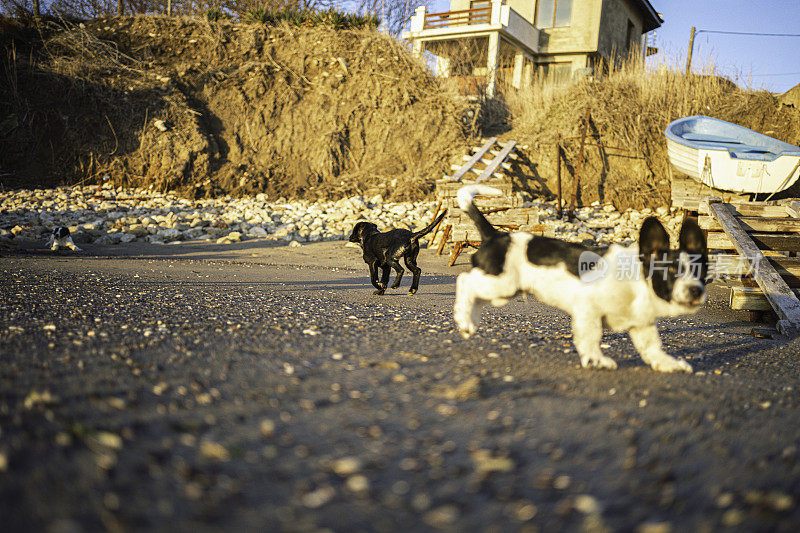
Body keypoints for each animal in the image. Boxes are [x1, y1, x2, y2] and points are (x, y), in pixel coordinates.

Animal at [454, 185, 708, 372]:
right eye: (672, 271)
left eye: (700, 271)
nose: (696, 290)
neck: (638, 283)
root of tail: (494, 235)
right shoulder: (588, 309)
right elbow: (591, 336)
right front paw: (596, 360)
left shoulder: (641, 324)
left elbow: (652, 347)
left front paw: (668, 364)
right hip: (501, 285)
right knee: (465, 281)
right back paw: (464, 320)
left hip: (500, 290)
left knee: (475, 294)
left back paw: (469, 324)